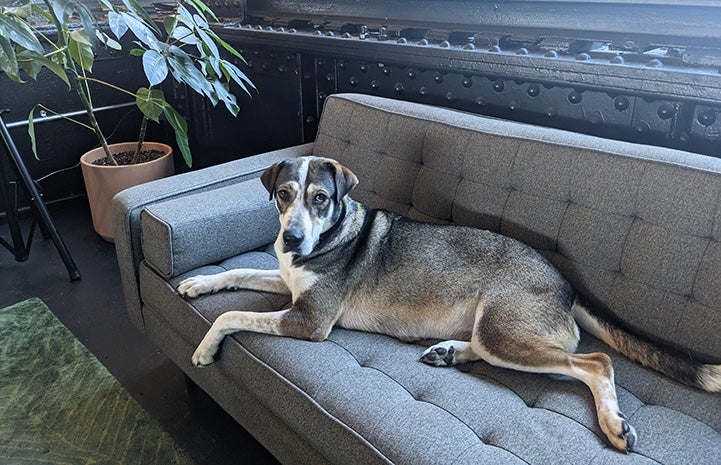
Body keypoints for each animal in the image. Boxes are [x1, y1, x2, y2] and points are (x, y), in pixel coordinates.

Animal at [179, 155, 720, 450]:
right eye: (284, 194)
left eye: (320, 199)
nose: (290, 240)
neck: (325, 239)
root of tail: (567, 282)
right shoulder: (290, 287)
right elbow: (237, 272)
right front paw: (196, 284)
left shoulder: (310, 319)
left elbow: (235, 313)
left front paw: (204, 348)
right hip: (494, 331)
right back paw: (448, 352)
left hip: (504, 331)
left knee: (595, 361)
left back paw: (614, 425)